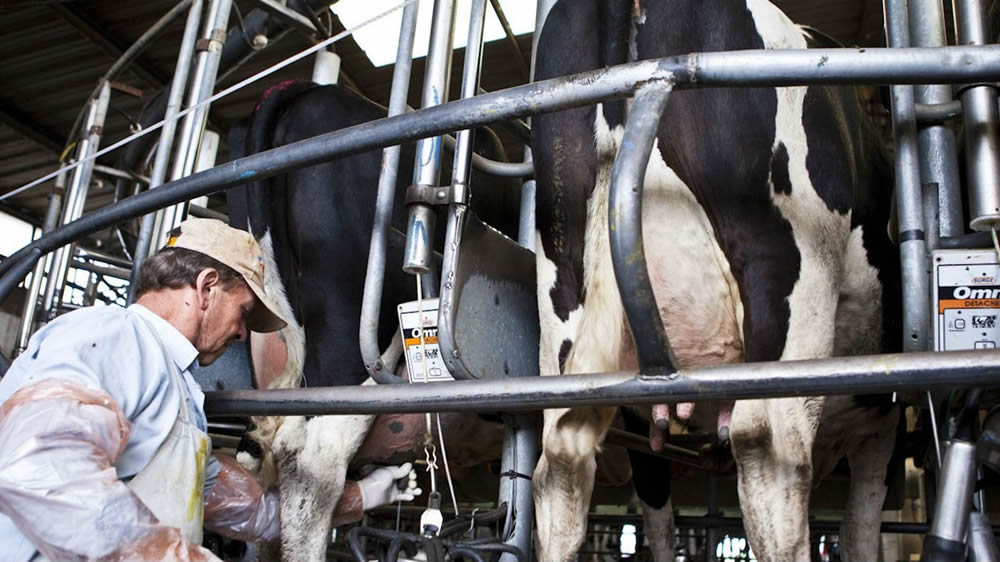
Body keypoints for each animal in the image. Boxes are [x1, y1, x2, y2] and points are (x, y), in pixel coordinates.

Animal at [536, 1, 904, 560]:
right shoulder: (883, 418)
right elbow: (862, 528)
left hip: (562, 281)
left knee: (562, 463)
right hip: (787, 272)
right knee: (771, 451)